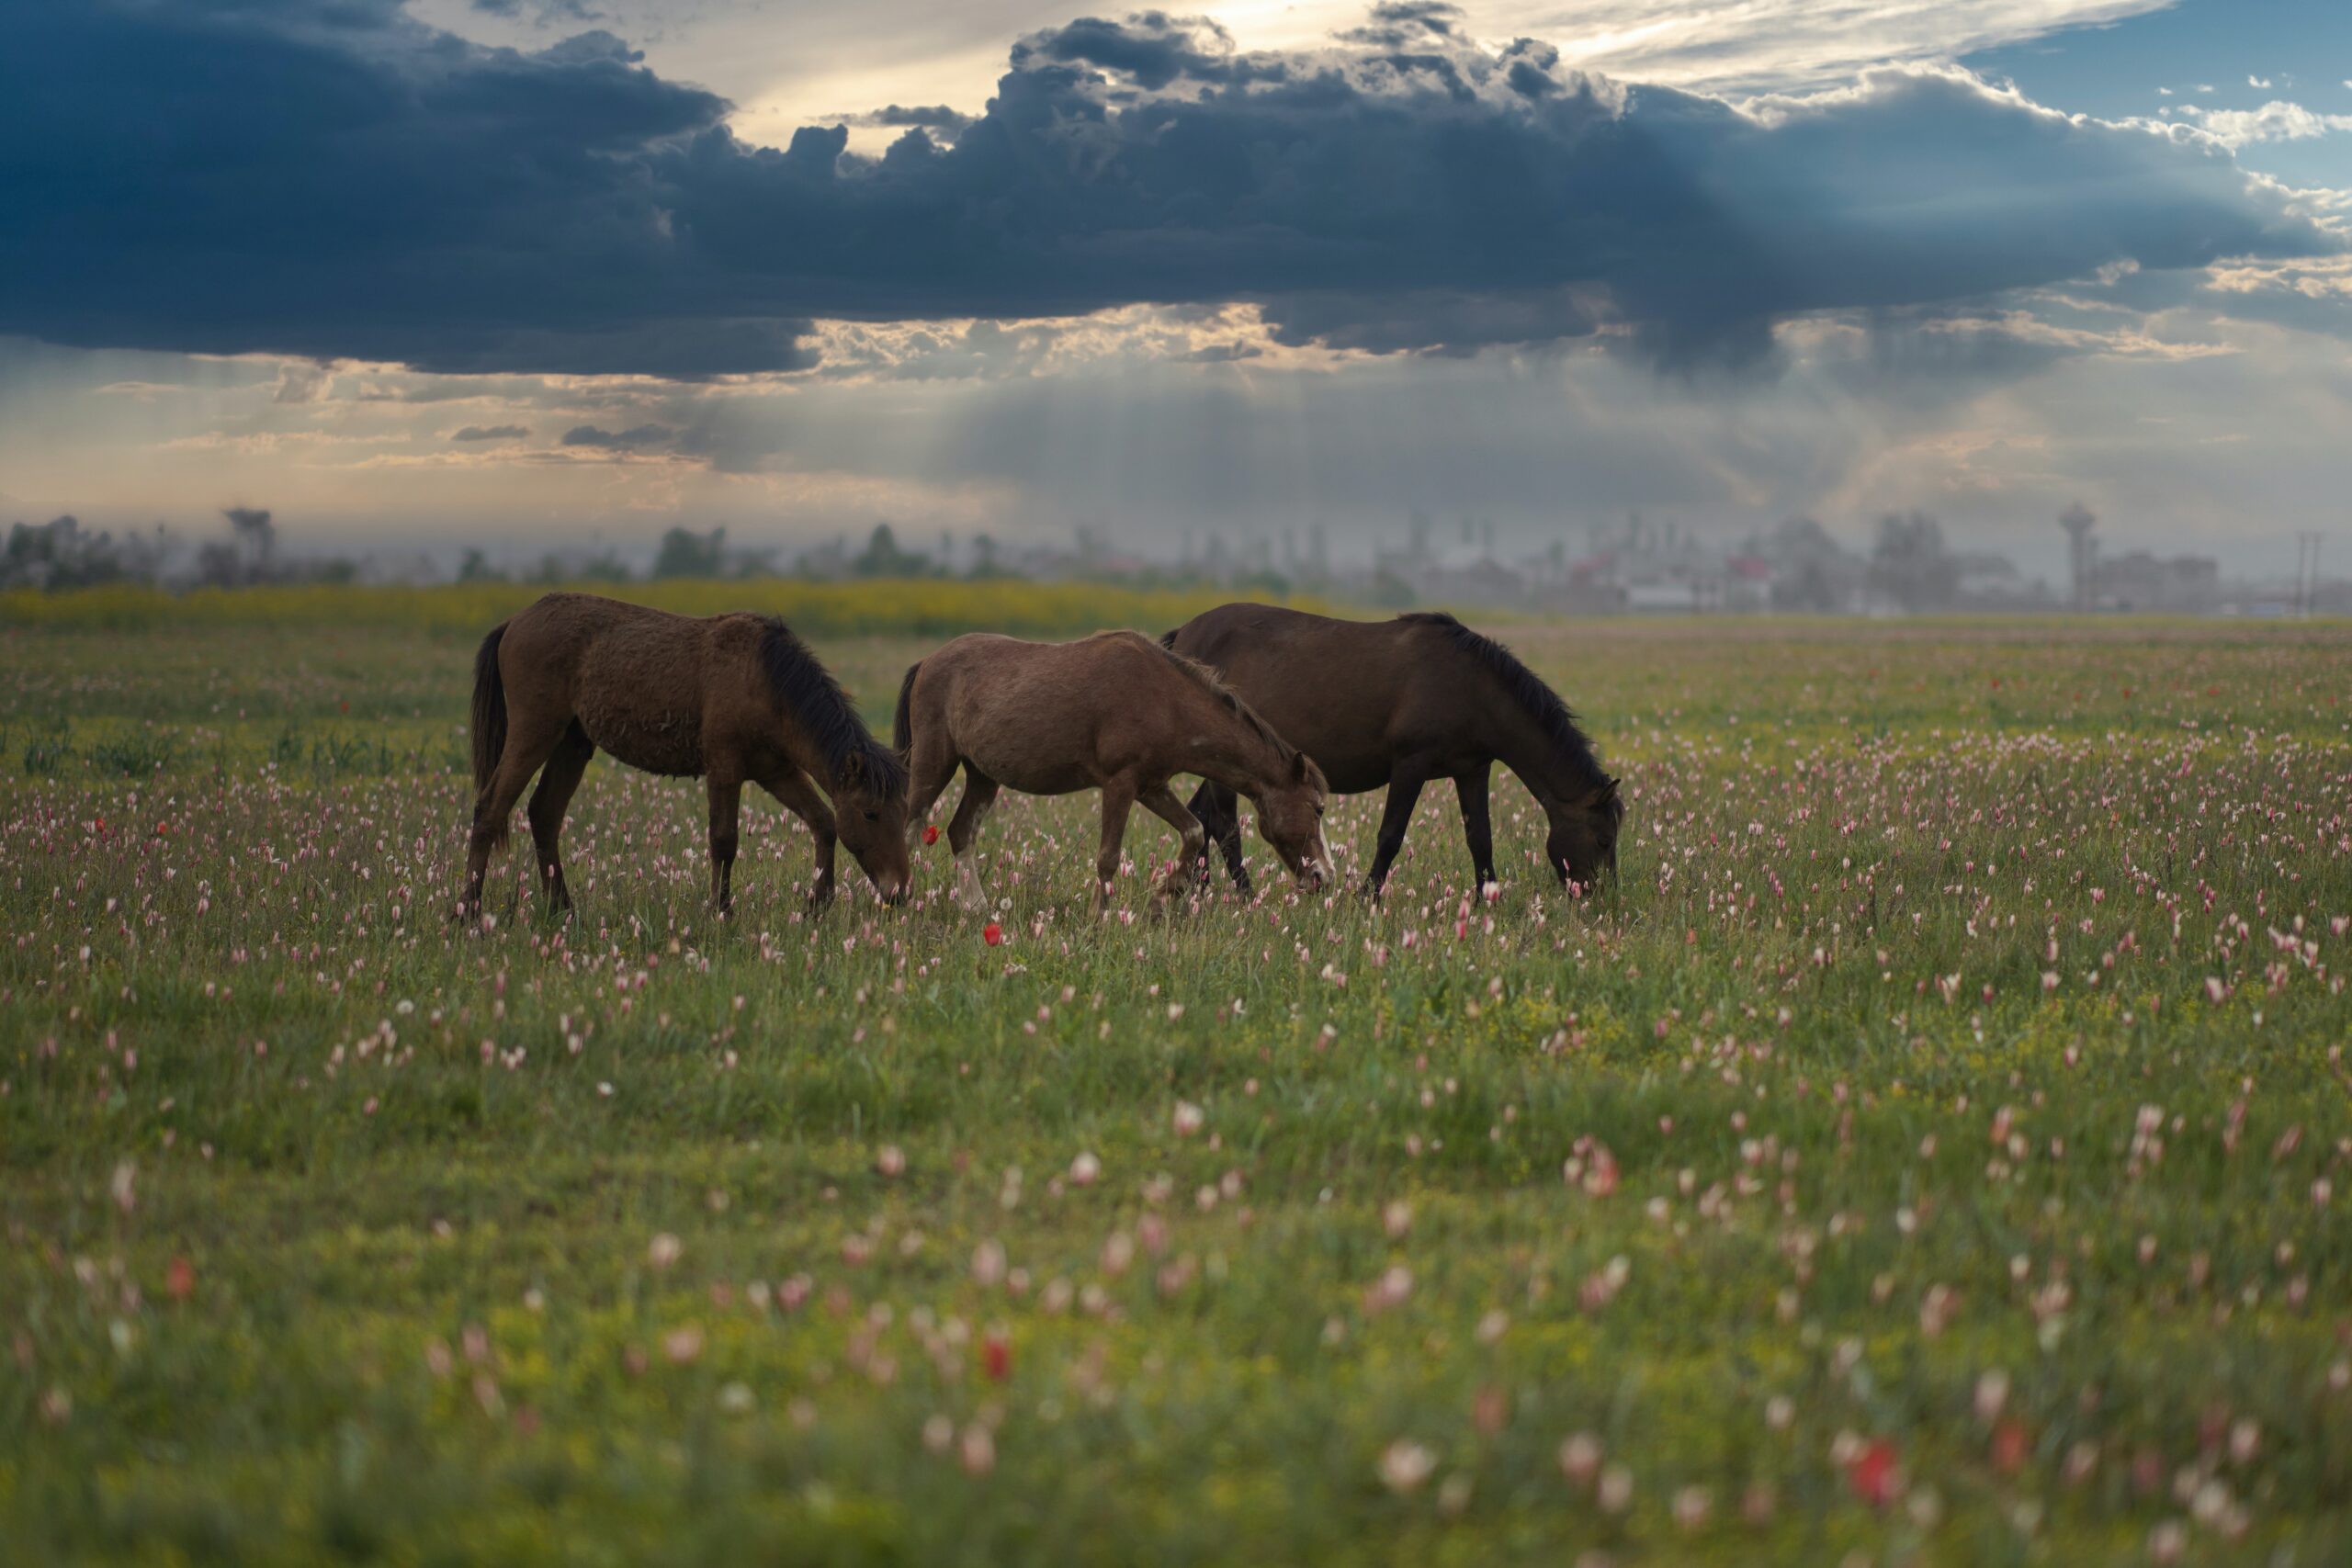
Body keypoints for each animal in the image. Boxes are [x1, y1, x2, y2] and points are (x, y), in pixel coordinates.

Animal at [458, 597, 908, 921]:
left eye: (902, 813)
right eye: (871, 814)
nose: (900, 893)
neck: (764, 680)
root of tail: (513, 622)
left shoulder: (777, 771)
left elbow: (824, 822)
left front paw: (817, 904)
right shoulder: (724, 768)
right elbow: (724, 841)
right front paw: (721, 912)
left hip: (573, 744)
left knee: (544, 814)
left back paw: (562, 910)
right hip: (534, 732)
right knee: (490, 809)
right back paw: (467, 913)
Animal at [888, 629, 1336, 911]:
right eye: (1317, 808)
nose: (1325, 877)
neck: (1166, 700)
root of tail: (927, 662)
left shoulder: (1151, 786)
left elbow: (1193, 831)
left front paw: (1164, 894)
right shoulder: (1120, 784)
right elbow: (1108, 857)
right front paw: (1099, 917)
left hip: (983, 775)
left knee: (960, 832)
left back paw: (977, 908)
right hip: (934, 763)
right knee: (909, 824)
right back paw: (894, 901)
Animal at [1157, 602, 1618, 893]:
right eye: (1603, 840)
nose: (1603, 897)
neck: (1470, 687)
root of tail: (1184, 635)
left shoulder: (1472, 769)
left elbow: (1480, 838)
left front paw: (1488, 898)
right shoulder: (1411, 764)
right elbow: (1391, 836)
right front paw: (1367, 897)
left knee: (1202, 818)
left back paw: (1198, 891)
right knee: (1225, 826)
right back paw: (1244, 895)